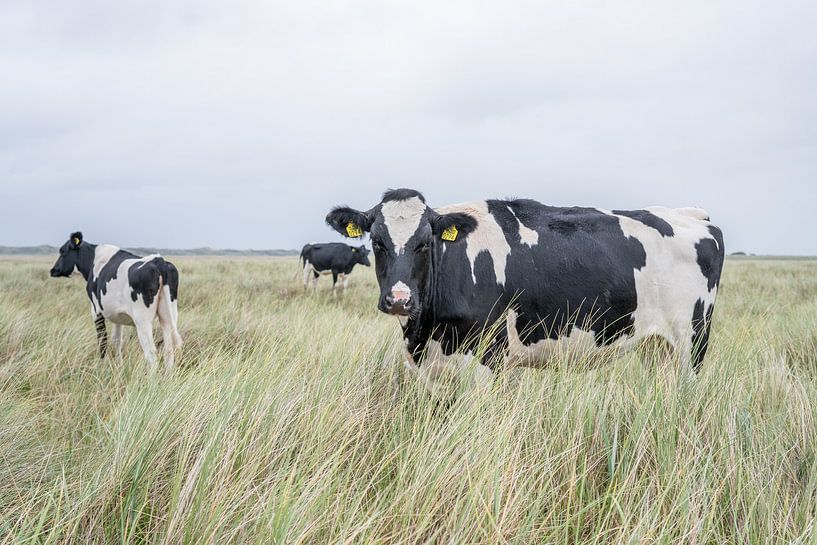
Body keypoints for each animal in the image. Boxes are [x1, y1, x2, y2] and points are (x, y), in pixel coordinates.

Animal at [49, 232, 182, 369]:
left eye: (62, 251)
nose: (53, 270)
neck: (93, 261)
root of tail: (158, 260)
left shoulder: (95, 310)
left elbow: (102, 340)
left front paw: (100, 366)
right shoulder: (118, 315)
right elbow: (117, 340)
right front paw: (119, 365)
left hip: (143, 320)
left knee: (151, 354)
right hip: (168, 316)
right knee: (169, 350)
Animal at [326, 189, 724, 394]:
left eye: (425, 243)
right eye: (376, 242)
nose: (399, 300)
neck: (424, 332)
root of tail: (690, 214)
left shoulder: (484, 362)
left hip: (692, 342)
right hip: (656, 349)